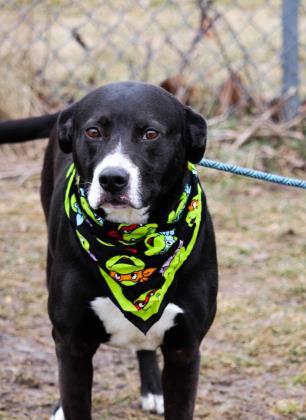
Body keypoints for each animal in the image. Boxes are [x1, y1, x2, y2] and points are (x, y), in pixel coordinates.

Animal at [0, 80, 218, 418]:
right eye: (93, 131)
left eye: (151, 133)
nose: (112, 179)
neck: (131, 243)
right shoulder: (73, 344)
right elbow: (74, 394)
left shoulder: (185, 350)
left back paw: (152, 389)